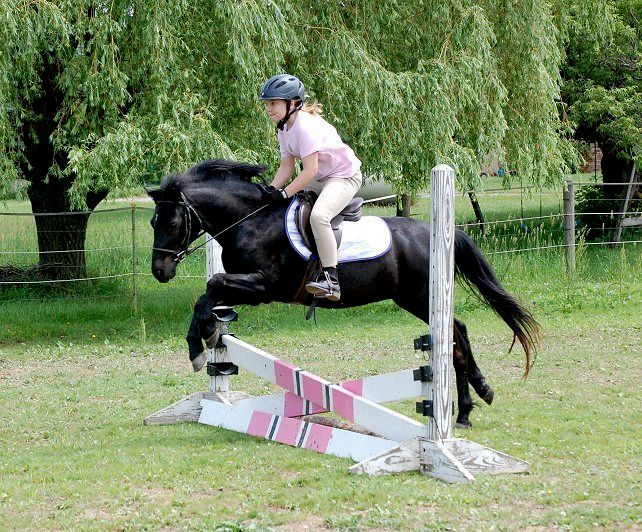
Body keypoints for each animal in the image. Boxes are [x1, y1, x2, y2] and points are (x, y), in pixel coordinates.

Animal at [148, 159, 540, 428]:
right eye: (153, 222)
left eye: (172, 222)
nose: (159, 271)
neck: (250, 221)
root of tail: (438, 232)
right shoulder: (244, 284)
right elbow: (209, 298)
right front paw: (208, 335)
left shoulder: (263, 286)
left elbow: (212, 287)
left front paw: (198, 346)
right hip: (415, 298)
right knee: (458, 334)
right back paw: (470, 404)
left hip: (419, 297)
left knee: (455, 333)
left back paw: (474, 399)